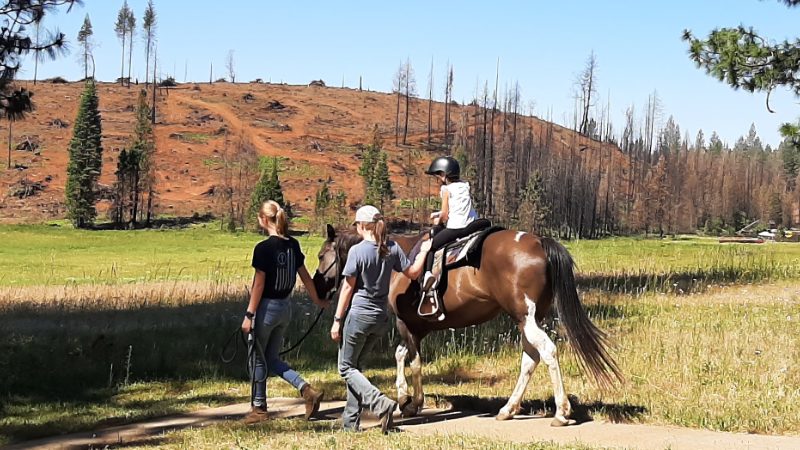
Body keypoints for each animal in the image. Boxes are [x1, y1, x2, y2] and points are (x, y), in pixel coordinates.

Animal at [310, 225, 620, 426]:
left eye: (322, 255)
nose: (318, 287)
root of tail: (539, 242)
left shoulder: (405, 323)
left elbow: (415, 362)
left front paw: (414, 402)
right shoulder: (418, 326)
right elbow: (402, 355)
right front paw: (403, 396)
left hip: (528, 317)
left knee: (548, 352)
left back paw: (561, 412)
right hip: (525, 320)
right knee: (530, 359)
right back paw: (508, 409)